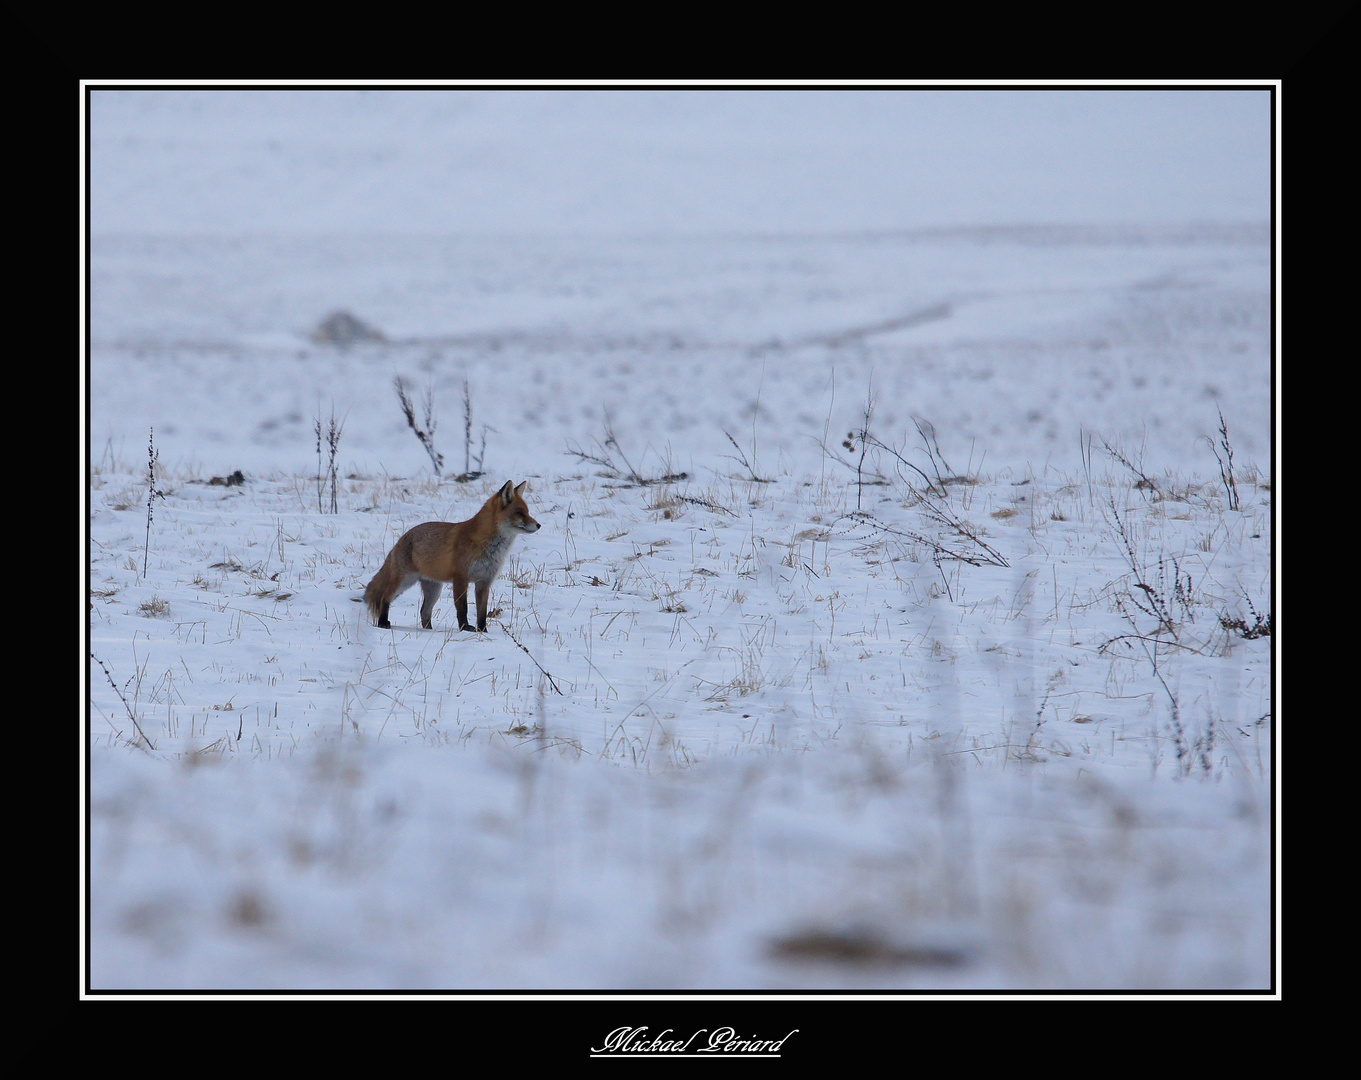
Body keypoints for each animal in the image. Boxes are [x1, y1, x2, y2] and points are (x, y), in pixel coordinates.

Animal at [364, 478, 538, 631]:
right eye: (520, 513)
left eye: (528, 512)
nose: (539, 525)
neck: (490, 548)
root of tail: (403, 537)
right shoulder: (460, 578)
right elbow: (463, 608)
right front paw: (465, 628)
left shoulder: (484, 582)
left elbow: (482, 613)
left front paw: (483, 631)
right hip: (405, 581)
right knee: (385, 598)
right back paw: (383, 622)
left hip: (434, 589)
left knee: (424, 612)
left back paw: (429, 630)